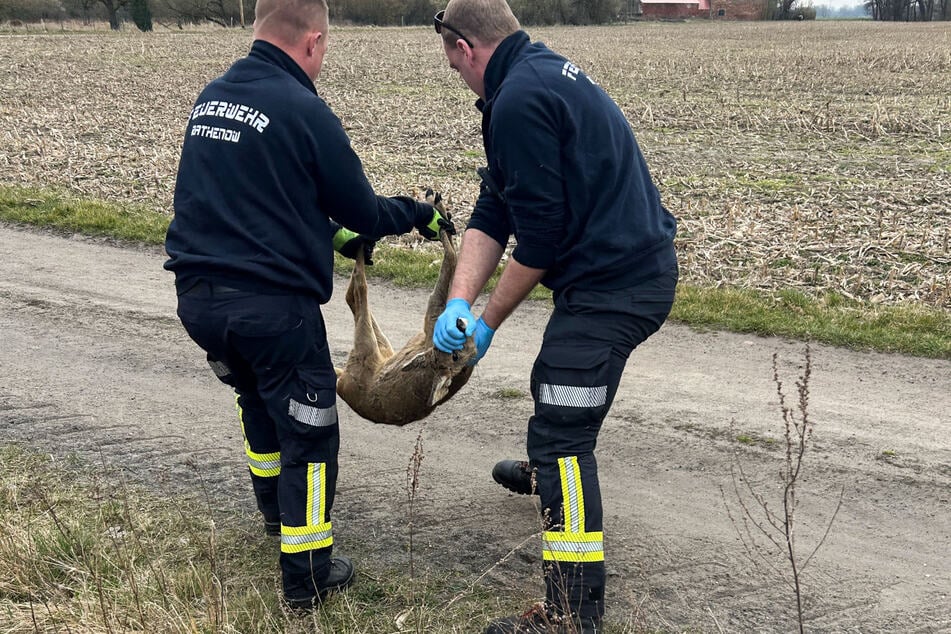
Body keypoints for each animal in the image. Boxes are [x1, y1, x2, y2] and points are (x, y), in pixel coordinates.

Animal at [338, 190, 480, 422]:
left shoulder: (432, 320)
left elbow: (451, 258)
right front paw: (439, 212)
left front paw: (437, 214)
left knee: (357, 288)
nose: (459, 325)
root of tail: (343, 385)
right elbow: (454, 256)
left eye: (455, 357)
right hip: (381, 348)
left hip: (366, 350)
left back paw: (362, 243)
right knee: (355, 293)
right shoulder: (430, 326)